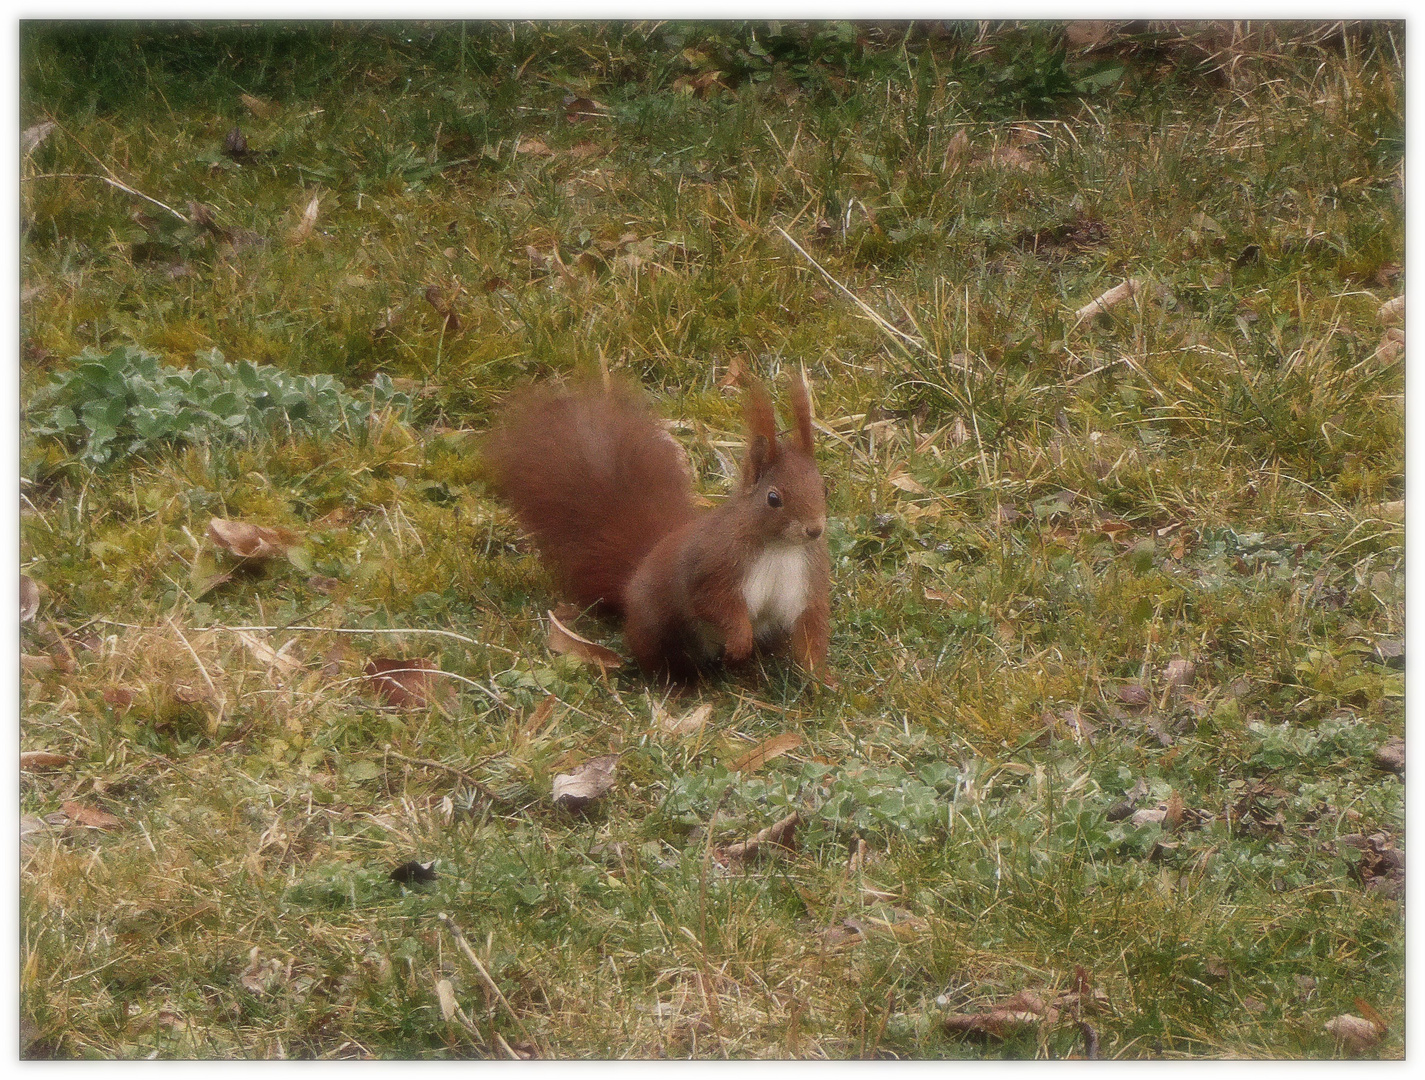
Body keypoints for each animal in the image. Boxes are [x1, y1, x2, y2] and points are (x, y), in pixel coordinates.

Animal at [487, 376, 832, 681]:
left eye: (824, 488)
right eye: (774, 498)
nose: (814, 530)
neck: (780, 548)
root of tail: (633, 579)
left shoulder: (806, 580)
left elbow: (810, 628)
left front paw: (821, 678)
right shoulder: (714, 566)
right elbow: (715, 605)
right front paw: (739, 641)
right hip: (659, 626)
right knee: (658, 662)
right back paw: (681, 686)